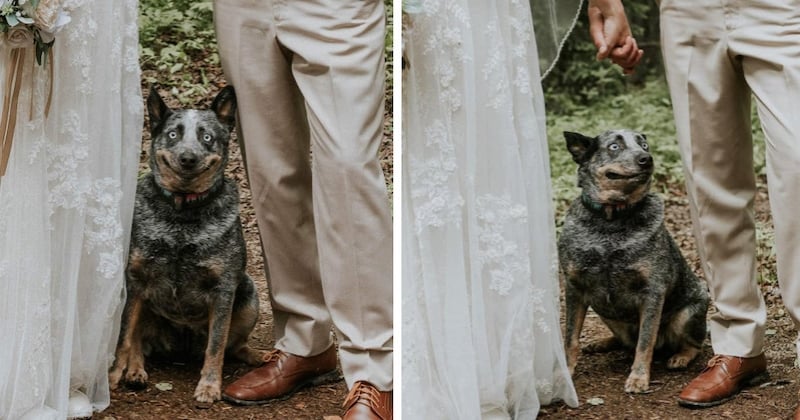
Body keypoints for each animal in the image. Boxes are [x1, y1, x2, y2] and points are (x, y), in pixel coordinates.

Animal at [109, 85, 264, 404]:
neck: (181, 216)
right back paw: (135, 371)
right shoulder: (136, 280)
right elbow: (125, 337)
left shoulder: (224, 289)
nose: (188, 158)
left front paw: (209, 386)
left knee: (233, 344)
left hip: (248, 295)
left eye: (207, 137)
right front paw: (115, 375)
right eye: (172, 134)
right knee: (139, 341)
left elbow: (216, 346)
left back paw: (256, 355)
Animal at [560, 130, 708, 394]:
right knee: (624, 341)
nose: (646, 158)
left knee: (692, 344)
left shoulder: (653, 291)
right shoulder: (574, 286)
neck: (610, 221)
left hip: (687, 313)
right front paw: (567, 373)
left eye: (644, 144)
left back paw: (681, 356)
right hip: (604, 312)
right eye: (614, 146)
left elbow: (645, 342)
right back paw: (601, 342)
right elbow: (571, 338)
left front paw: (638, 378)